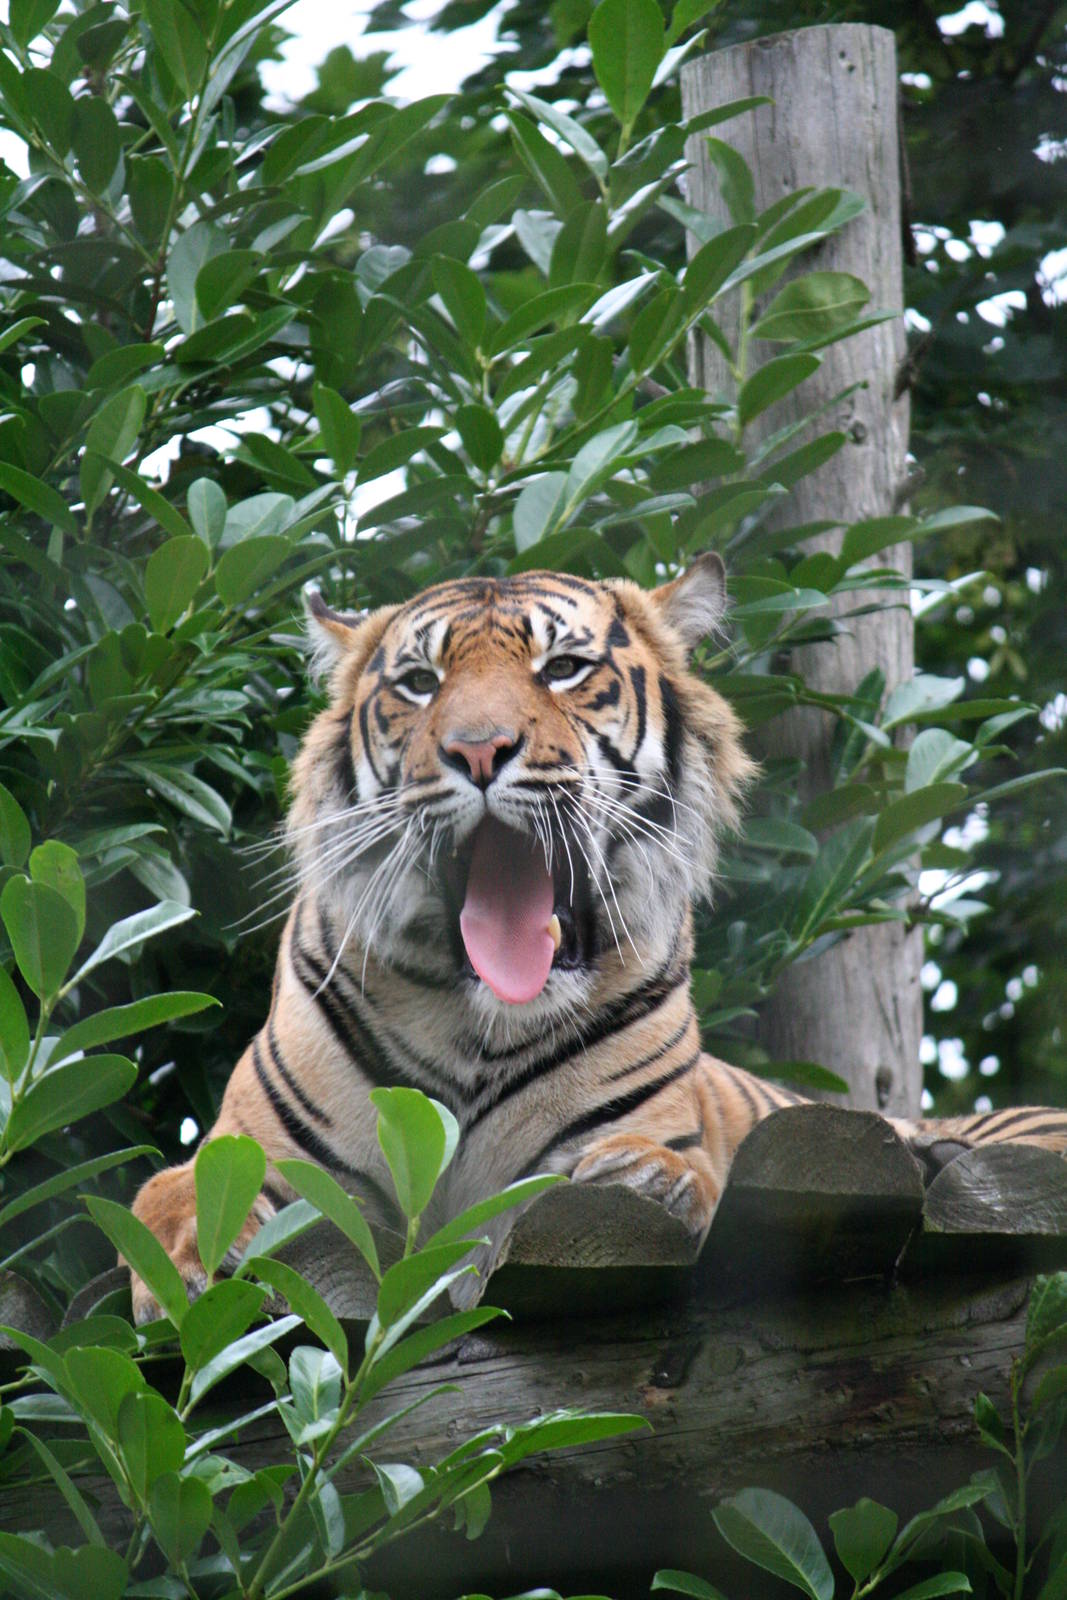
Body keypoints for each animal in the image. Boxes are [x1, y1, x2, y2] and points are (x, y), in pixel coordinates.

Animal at [129, 554, 1067, 1322]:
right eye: (421, 683)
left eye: (563, 669)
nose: (478, 750)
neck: (477, 1024)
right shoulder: (260, 1145)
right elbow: (173, 1189)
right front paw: (194, 1256)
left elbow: (671, 1168)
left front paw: (648, 1178)